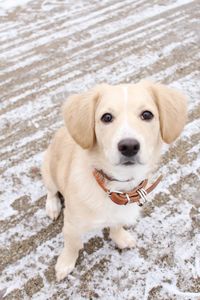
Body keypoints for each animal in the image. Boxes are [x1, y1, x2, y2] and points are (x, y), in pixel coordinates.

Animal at [41, 80, 187, 282]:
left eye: (147, 115)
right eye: (106, 117)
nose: (129, 146)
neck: (116, 186)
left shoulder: (120, 214)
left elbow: (116, 226)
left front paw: (120, 238)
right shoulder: (71, 224)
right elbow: (72, 244)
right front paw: (65, 263)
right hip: (48, 171)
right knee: (51, 191)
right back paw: (53, 206)